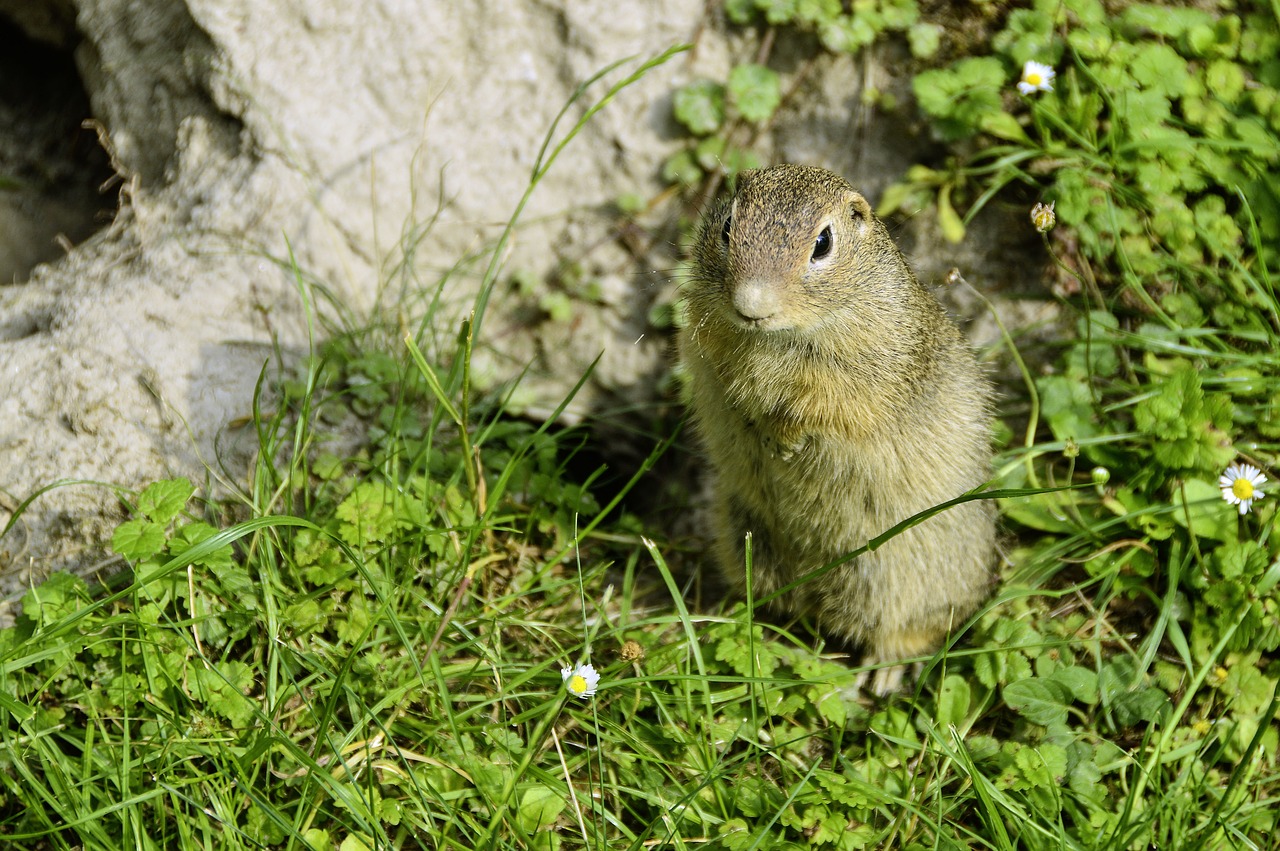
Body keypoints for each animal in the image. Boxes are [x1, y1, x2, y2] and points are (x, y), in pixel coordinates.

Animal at [680, 163, 998, 691]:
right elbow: (723, 377)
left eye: (823, 243)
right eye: (726, 226)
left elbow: (822, 409)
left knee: (913, 629)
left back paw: (882, 674)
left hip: (905, 576)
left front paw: (782, 439)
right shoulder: (705, 340)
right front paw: (751, 419)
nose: (751, 305)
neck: (777, 338)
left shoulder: (861, 380)